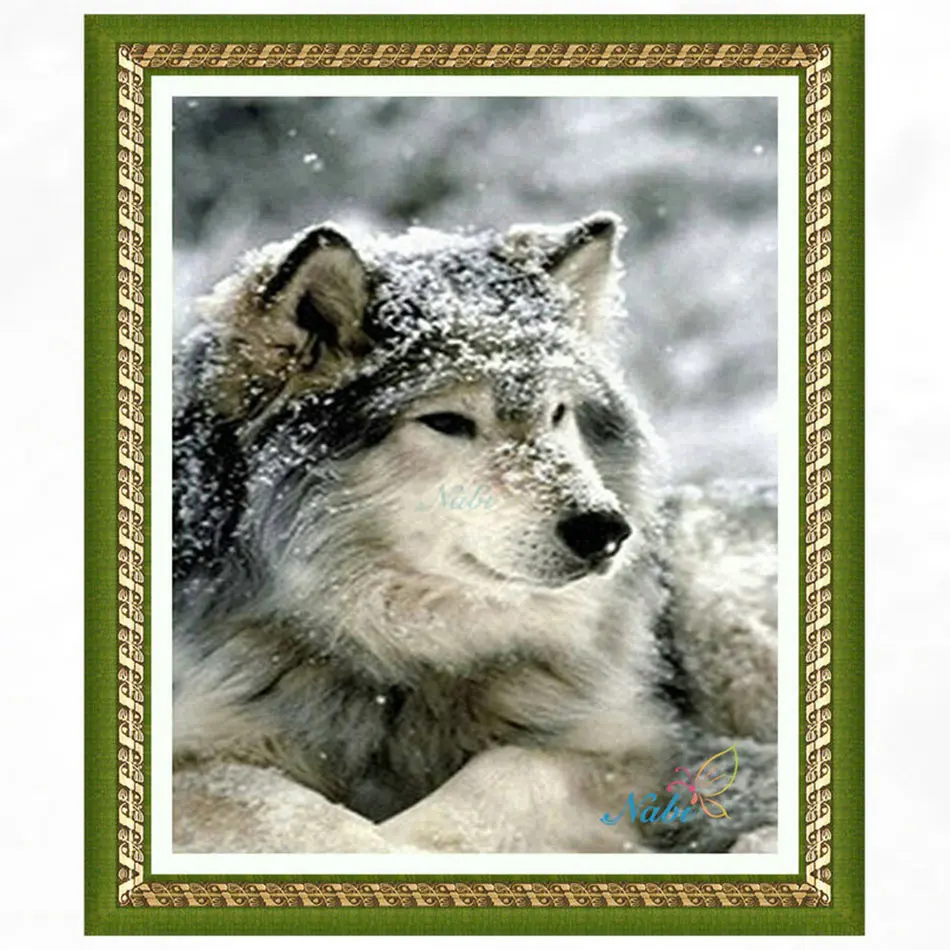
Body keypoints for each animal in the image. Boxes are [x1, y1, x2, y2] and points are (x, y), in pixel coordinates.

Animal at [172, 213, 777, 853]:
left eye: (558, 413)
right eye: (447, 421)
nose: (606, 529)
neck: (408, 659)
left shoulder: (622, 740)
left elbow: (503, 778)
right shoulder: (199, 750)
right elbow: (292, 814)